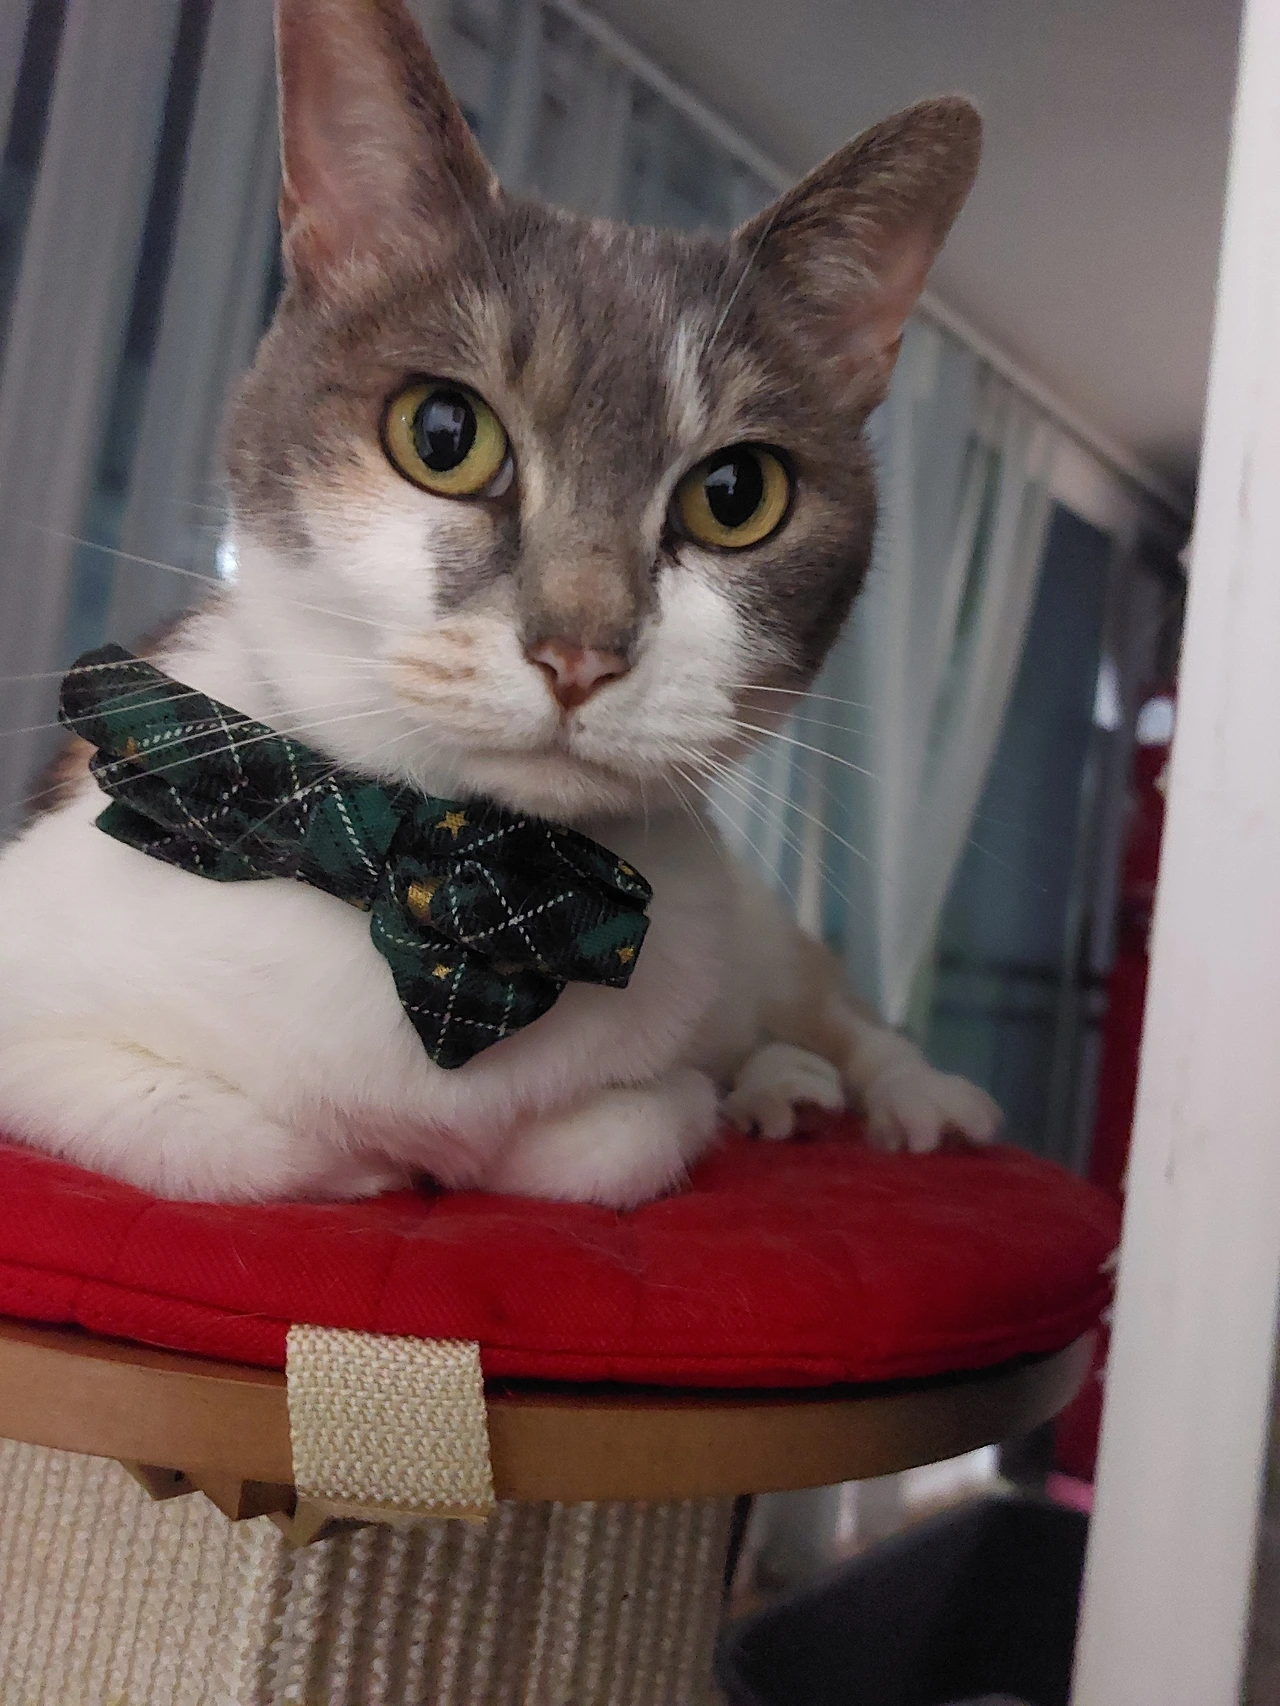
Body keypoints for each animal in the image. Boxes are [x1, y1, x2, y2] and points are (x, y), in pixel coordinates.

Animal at [0, 0, 999, 1207]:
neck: (454, 878)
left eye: (734, 496)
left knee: (832, 1010)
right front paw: (382, 1161)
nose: (581, 651)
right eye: (443, 434)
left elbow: (619, 1136)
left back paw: (882, 1091)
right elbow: (243, 1139)